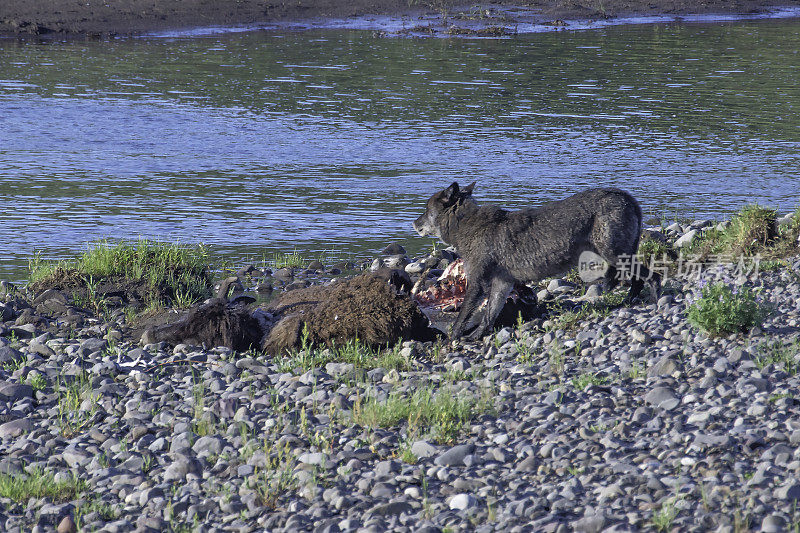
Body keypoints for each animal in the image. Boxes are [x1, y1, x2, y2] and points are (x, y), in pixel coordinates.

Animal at [416, 183, 660, 338]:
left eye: (426, 210)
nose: (414, 223)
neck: (466, 224)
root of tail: (627, 197)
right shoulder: (502, 283)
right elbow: (490, 314)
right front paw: (477, 336)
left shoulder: (477, 283)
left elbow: (465, 314)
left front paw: (454, 337)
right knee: (639, 279)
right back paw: (629, 302)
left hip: (615, 255)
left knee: (653, 276)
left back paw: (655, 301)